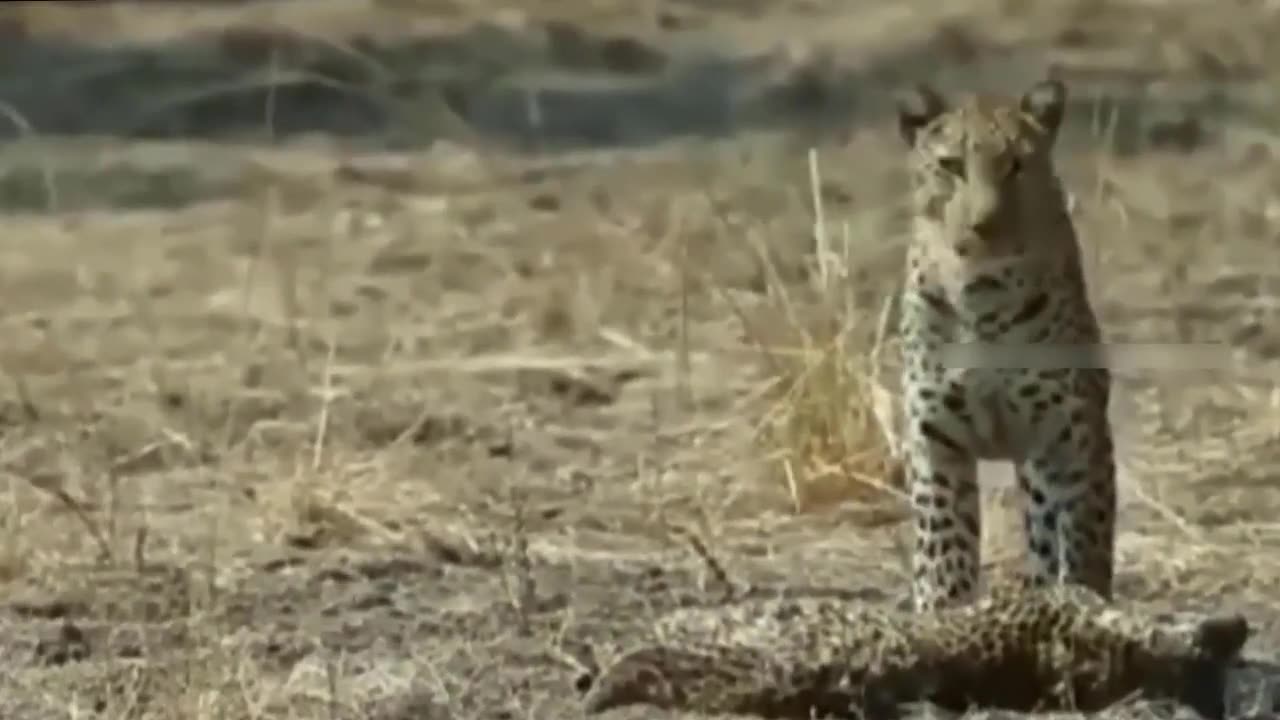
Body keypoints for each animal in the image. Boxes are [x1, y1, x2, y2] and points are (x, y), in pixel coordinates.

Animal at [890, 75, 1121, 607]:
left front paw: (1081, 602)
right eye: (951, 166)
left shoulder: (1070, 435)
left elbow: (1082, 538)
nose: (984, 225)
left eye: (1016, 165)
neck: (984, 301)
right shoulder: (936, 438)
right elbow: (943, 549)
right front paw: (943, 612)